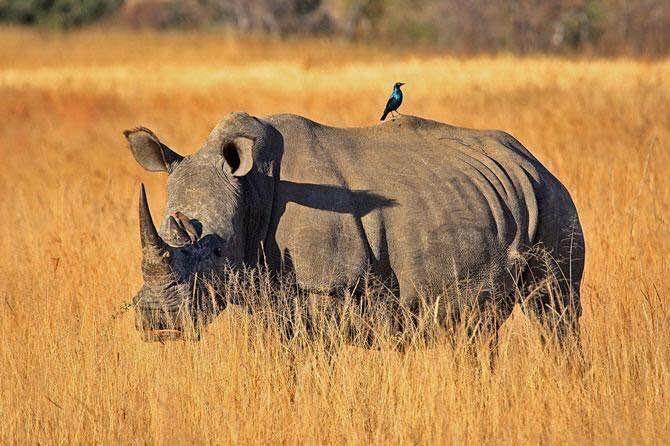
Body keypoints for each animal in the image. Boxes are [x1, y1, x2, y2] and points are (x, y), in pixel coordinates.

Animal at [125, 113, 584, 346]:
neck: (251, 189)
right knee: (476, 325)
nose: (157, 321)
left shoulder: (329, 286)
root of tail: (531, 157)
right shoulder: (264, 288)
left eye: (216, 252)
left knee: (555, 306)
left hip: (552, 198)